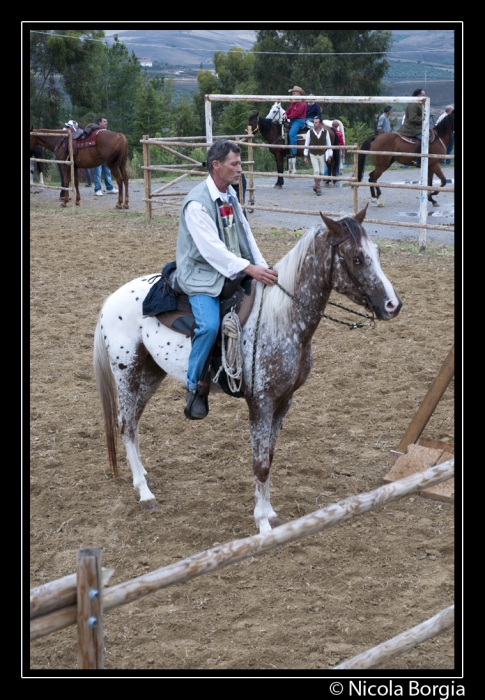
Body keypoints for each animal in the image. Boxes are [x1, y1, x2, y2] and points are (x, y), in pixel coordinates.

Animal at [93, 205, 400, 532]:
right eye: (357, 258)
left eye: (376, 252)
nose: (393, 305)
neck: (282, 319)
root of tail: (111, 300)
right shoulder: (261, 403)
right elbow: (260, 464)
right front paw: (263, 524)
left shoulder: (284, 401)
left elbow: (269, 456)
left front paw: (271, 513)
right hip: (127, 372)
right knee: (126, 425)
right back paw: (145, 493)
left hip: (151, 373)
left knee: (134, 423)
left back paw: (143, 476)